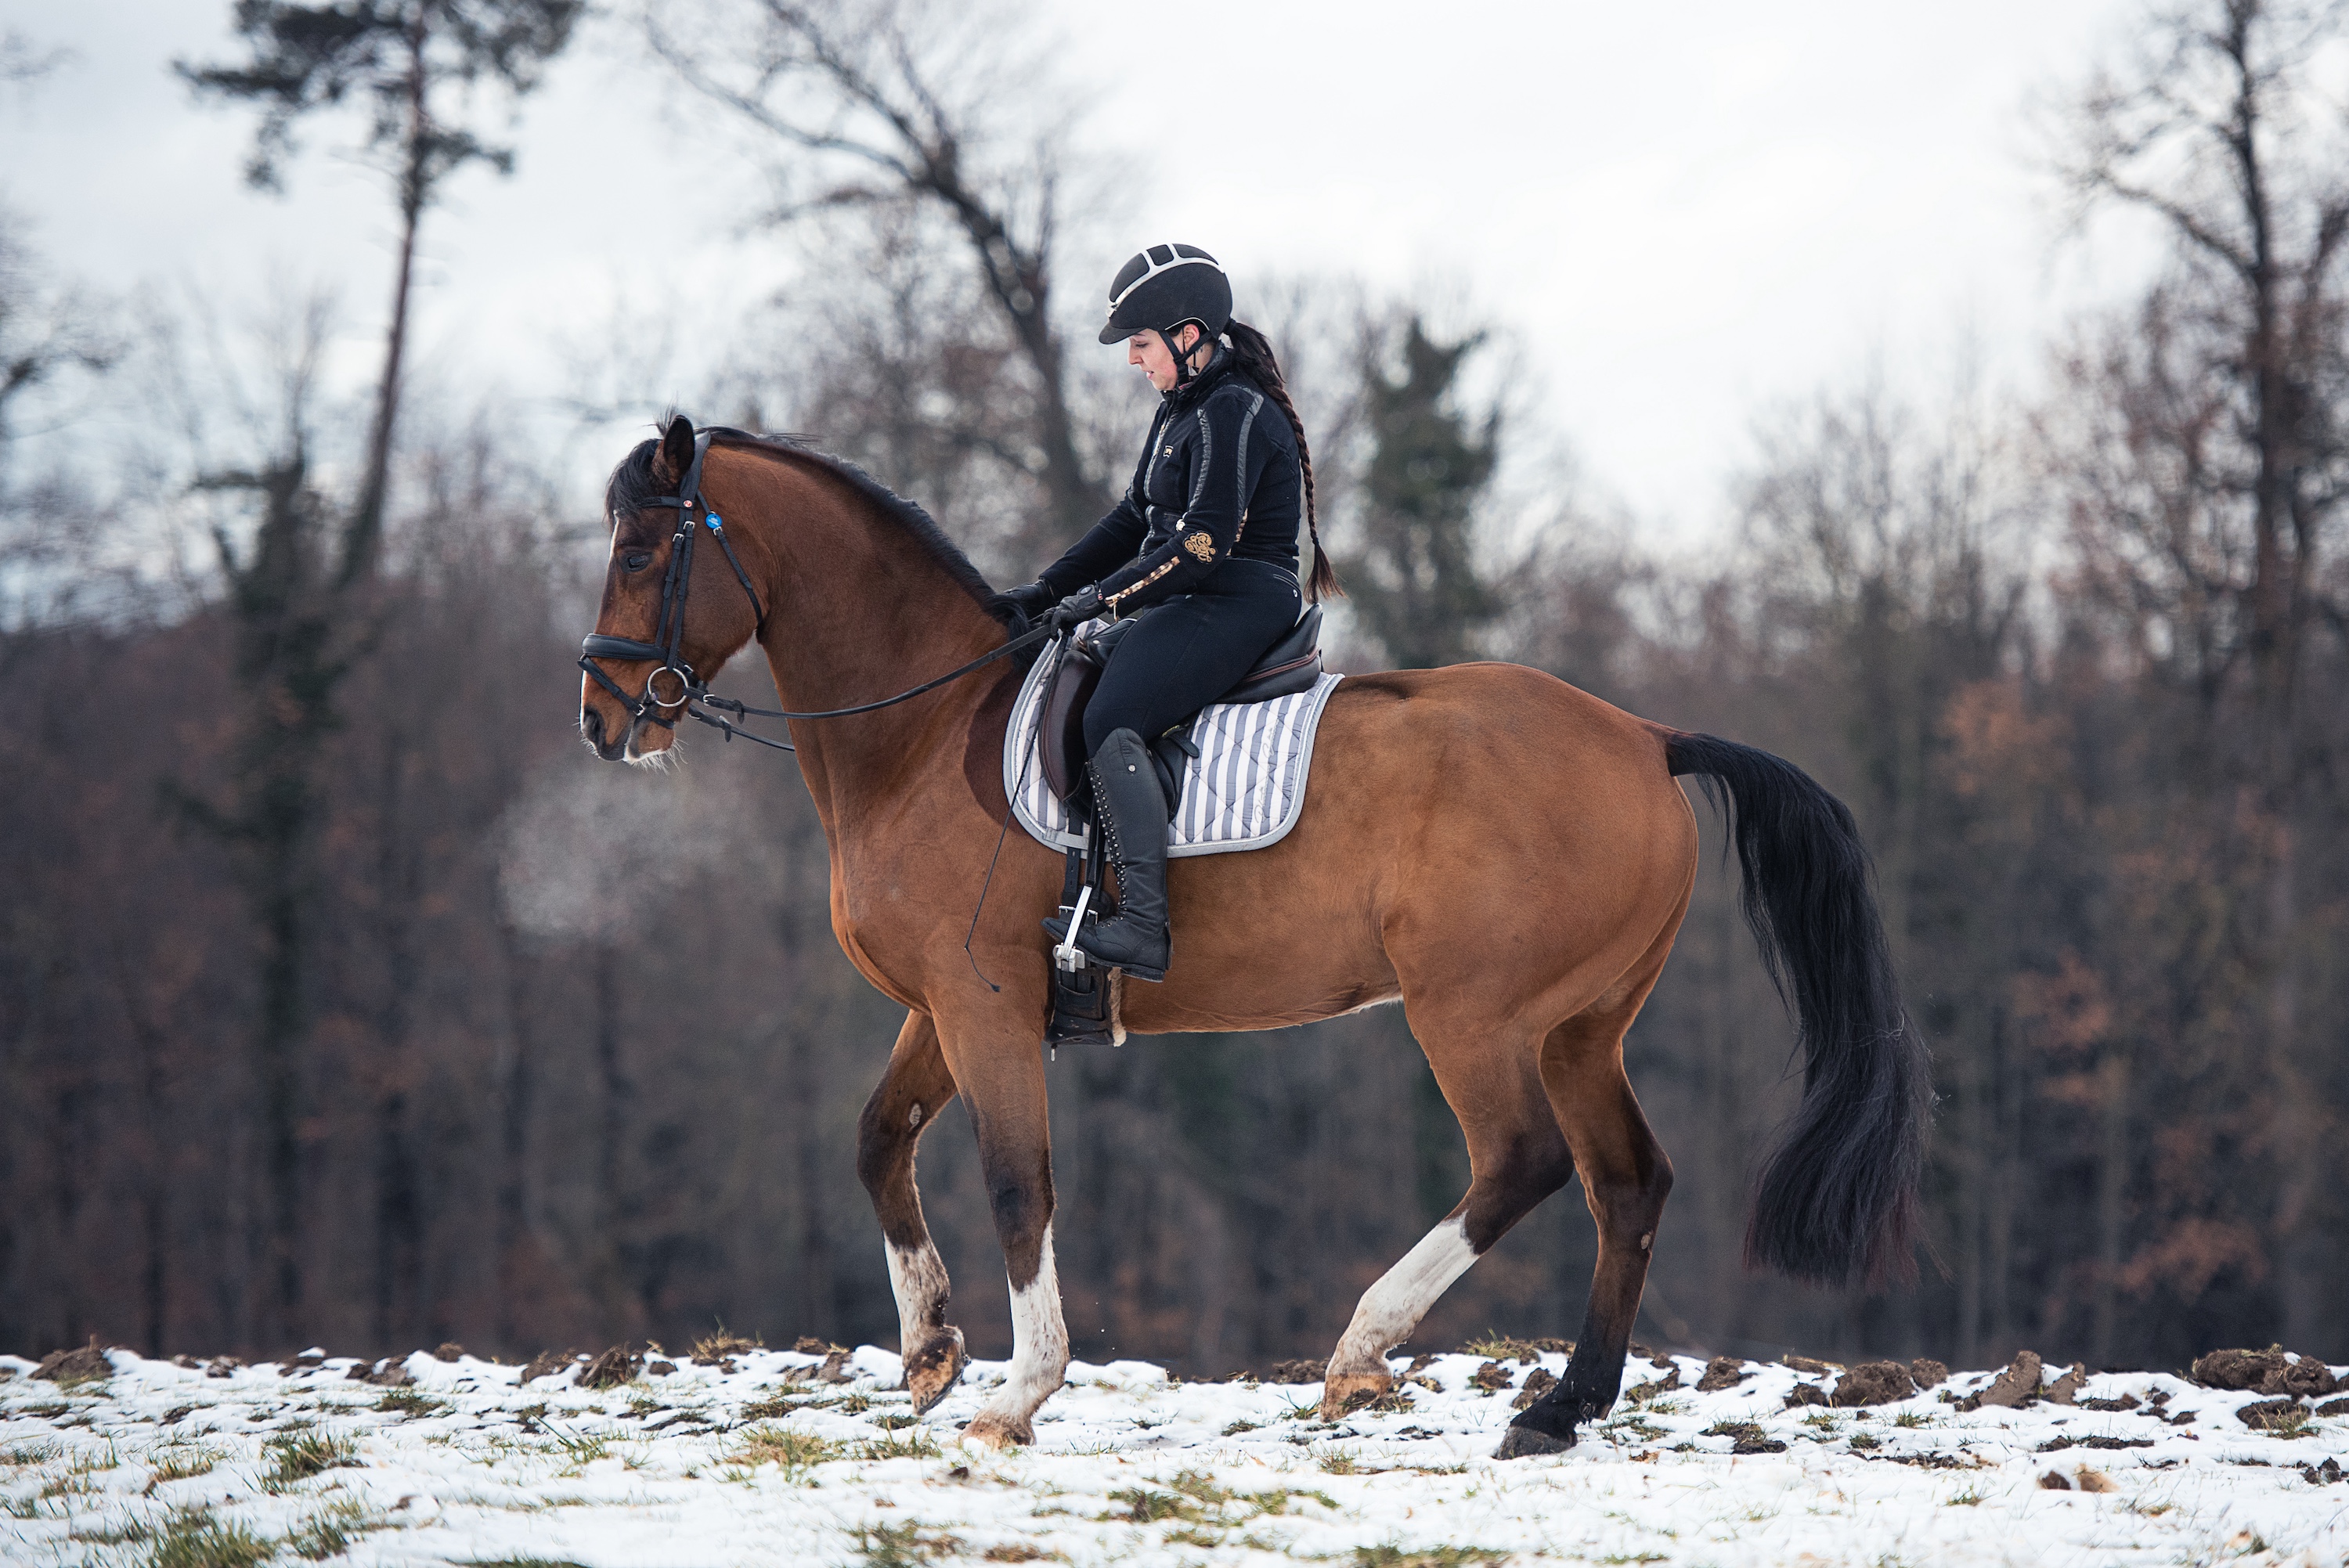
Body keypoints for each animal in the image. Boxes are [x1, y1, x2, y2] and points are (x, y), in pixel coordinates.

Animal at [577, 415, 1931, 1457]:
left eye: (643, 548)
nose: (600, 716)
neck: (922, 730)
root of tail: (1647, 735)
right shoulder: (942, 1007)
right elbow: (877, 1140)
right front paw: (929, 1348)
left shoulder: (983, 1005)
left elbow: (1020, 1182)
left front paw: (1017, 1391)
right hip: (1582, 1027)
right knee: (1627, 1180)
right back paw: (1558, 1407)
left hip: (1473, 1013)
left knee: (1524, 1161)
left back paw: (1364, 1346)